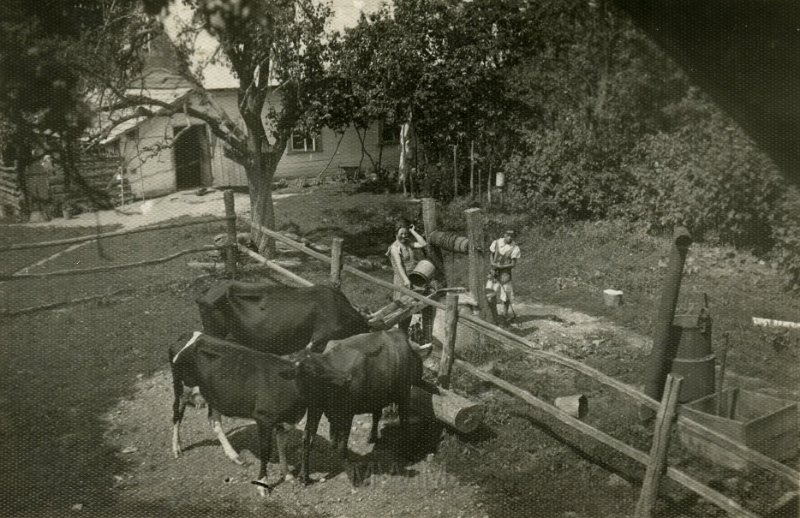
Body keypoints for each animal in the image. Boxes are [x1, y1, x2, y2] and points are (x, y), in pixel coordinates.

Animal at [170, 334, 340, 496]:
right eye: (306, 374)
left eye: (323, 375)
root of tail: (187, 336)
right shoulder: (264, 419)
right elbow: (265, 452)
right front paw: (262, 484)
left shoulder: (285, 422)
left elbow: (282, 447)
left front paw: (287, 475)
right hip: (181, 388)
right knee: (177, 415)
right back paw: (176, 448)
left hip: (213, 394)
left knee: (214, 421)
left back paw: (234, 456)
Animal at [282, 332, 424, 486]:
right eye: (307, 372)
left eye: (317, 369)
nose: (346, 378)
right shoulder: (315, 408)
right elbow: (306, 439)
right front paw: (304, 475)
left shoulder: (347, 413)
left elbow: (342, 445)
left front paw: (352, 475)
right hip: (379, 394)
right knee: (377, 414)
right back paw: (372, 437)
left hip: (404, 393)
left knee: (404, 422)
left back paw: (407, 451)